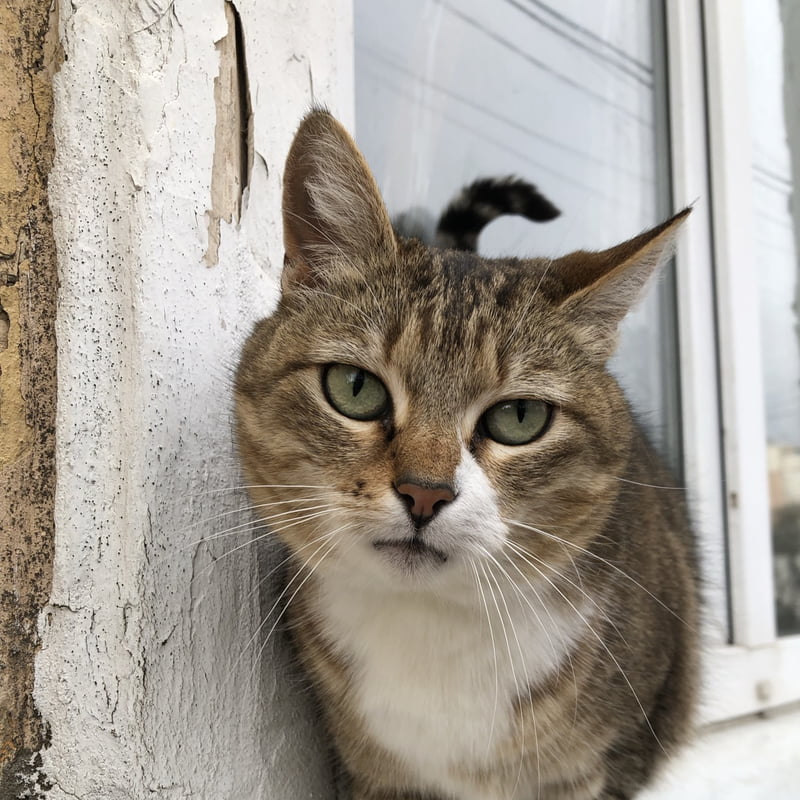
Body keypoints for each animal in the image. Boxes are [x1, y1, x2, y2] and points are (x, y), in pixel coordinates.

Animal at [234, 111, 696, 800]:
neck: (430, 625)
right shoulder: (372, 771)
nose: (425, 492)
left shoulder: (607, 760)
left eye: (519, 418)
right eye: (355, 388)